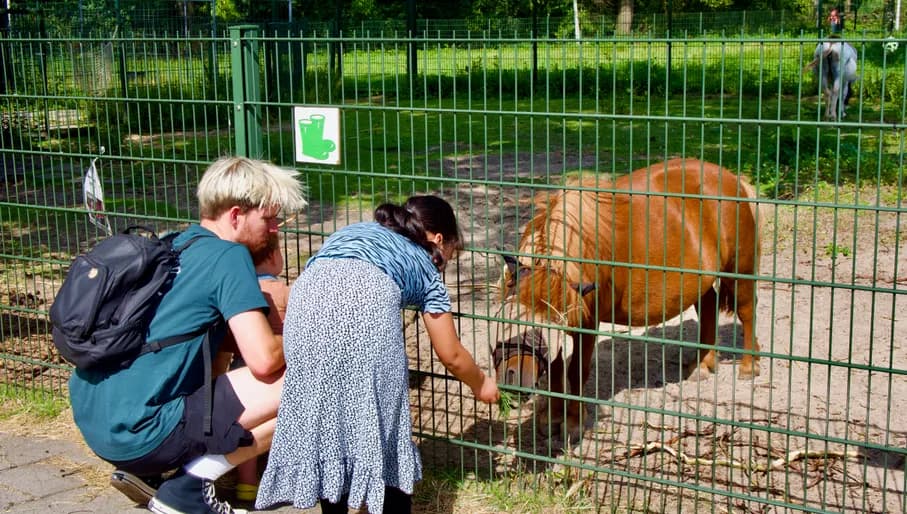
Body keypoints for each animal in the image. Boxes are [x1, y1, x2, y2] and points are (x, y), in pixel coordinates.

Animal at [492, 158, 762, 439]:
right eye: (505, 317)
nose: (514, 379)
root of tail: (732, 179)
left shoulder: (588, 323)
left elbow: (577, 372)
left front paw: (574, 421)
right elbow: (556, 373)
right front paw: (552, 418)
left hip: (738, 268)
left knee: (746, 310)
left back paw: (748, 364)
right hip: (702, 278)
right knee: (708, 305)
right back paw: (702, 364)